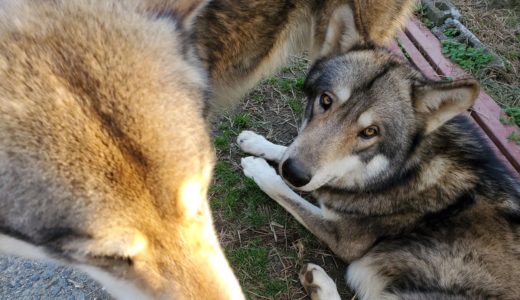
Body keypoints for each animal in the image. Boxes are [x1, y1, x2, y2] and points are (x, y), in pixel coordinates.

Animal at [239, 27, 520, 300]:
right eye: (326, 100)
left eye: (370, 132)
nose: (294, 173)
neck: (405, 172)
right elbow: (290, 149)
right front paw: (256, 142)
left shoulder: (344, 239)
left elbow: (286, 193)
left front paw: (259, 169)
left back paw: (318, 282)